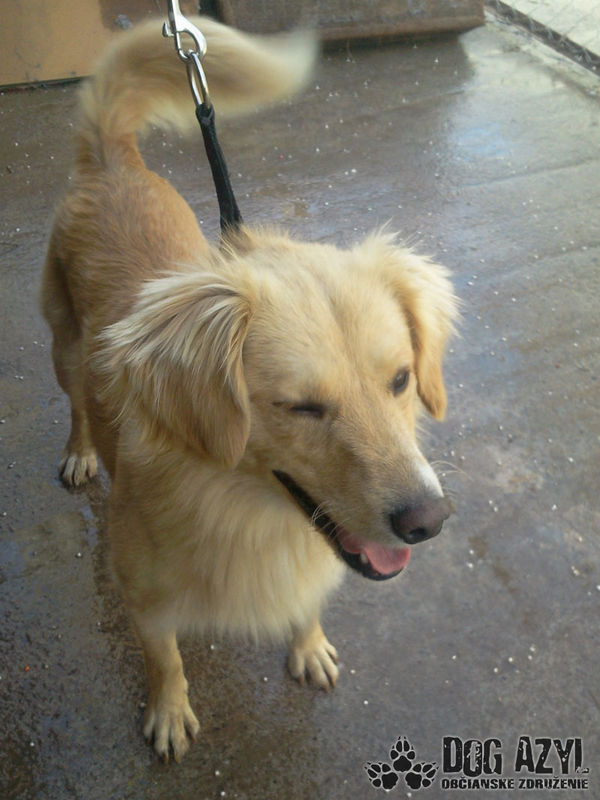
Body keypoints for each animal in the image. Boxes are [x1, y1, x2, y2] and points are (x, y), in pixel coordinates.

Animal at [41, 17, 458, 762]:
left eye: (402, 380)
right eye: (301, 407)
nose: (428, 522)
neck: (248, 514)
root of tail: (113, 160)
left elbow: (305, 606)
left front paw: (308, 644)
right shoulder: (142, 597)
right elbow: (164, 659)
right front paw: (170, 711)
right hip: (62, 346)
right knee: (75, 404)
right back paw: (82, 451)